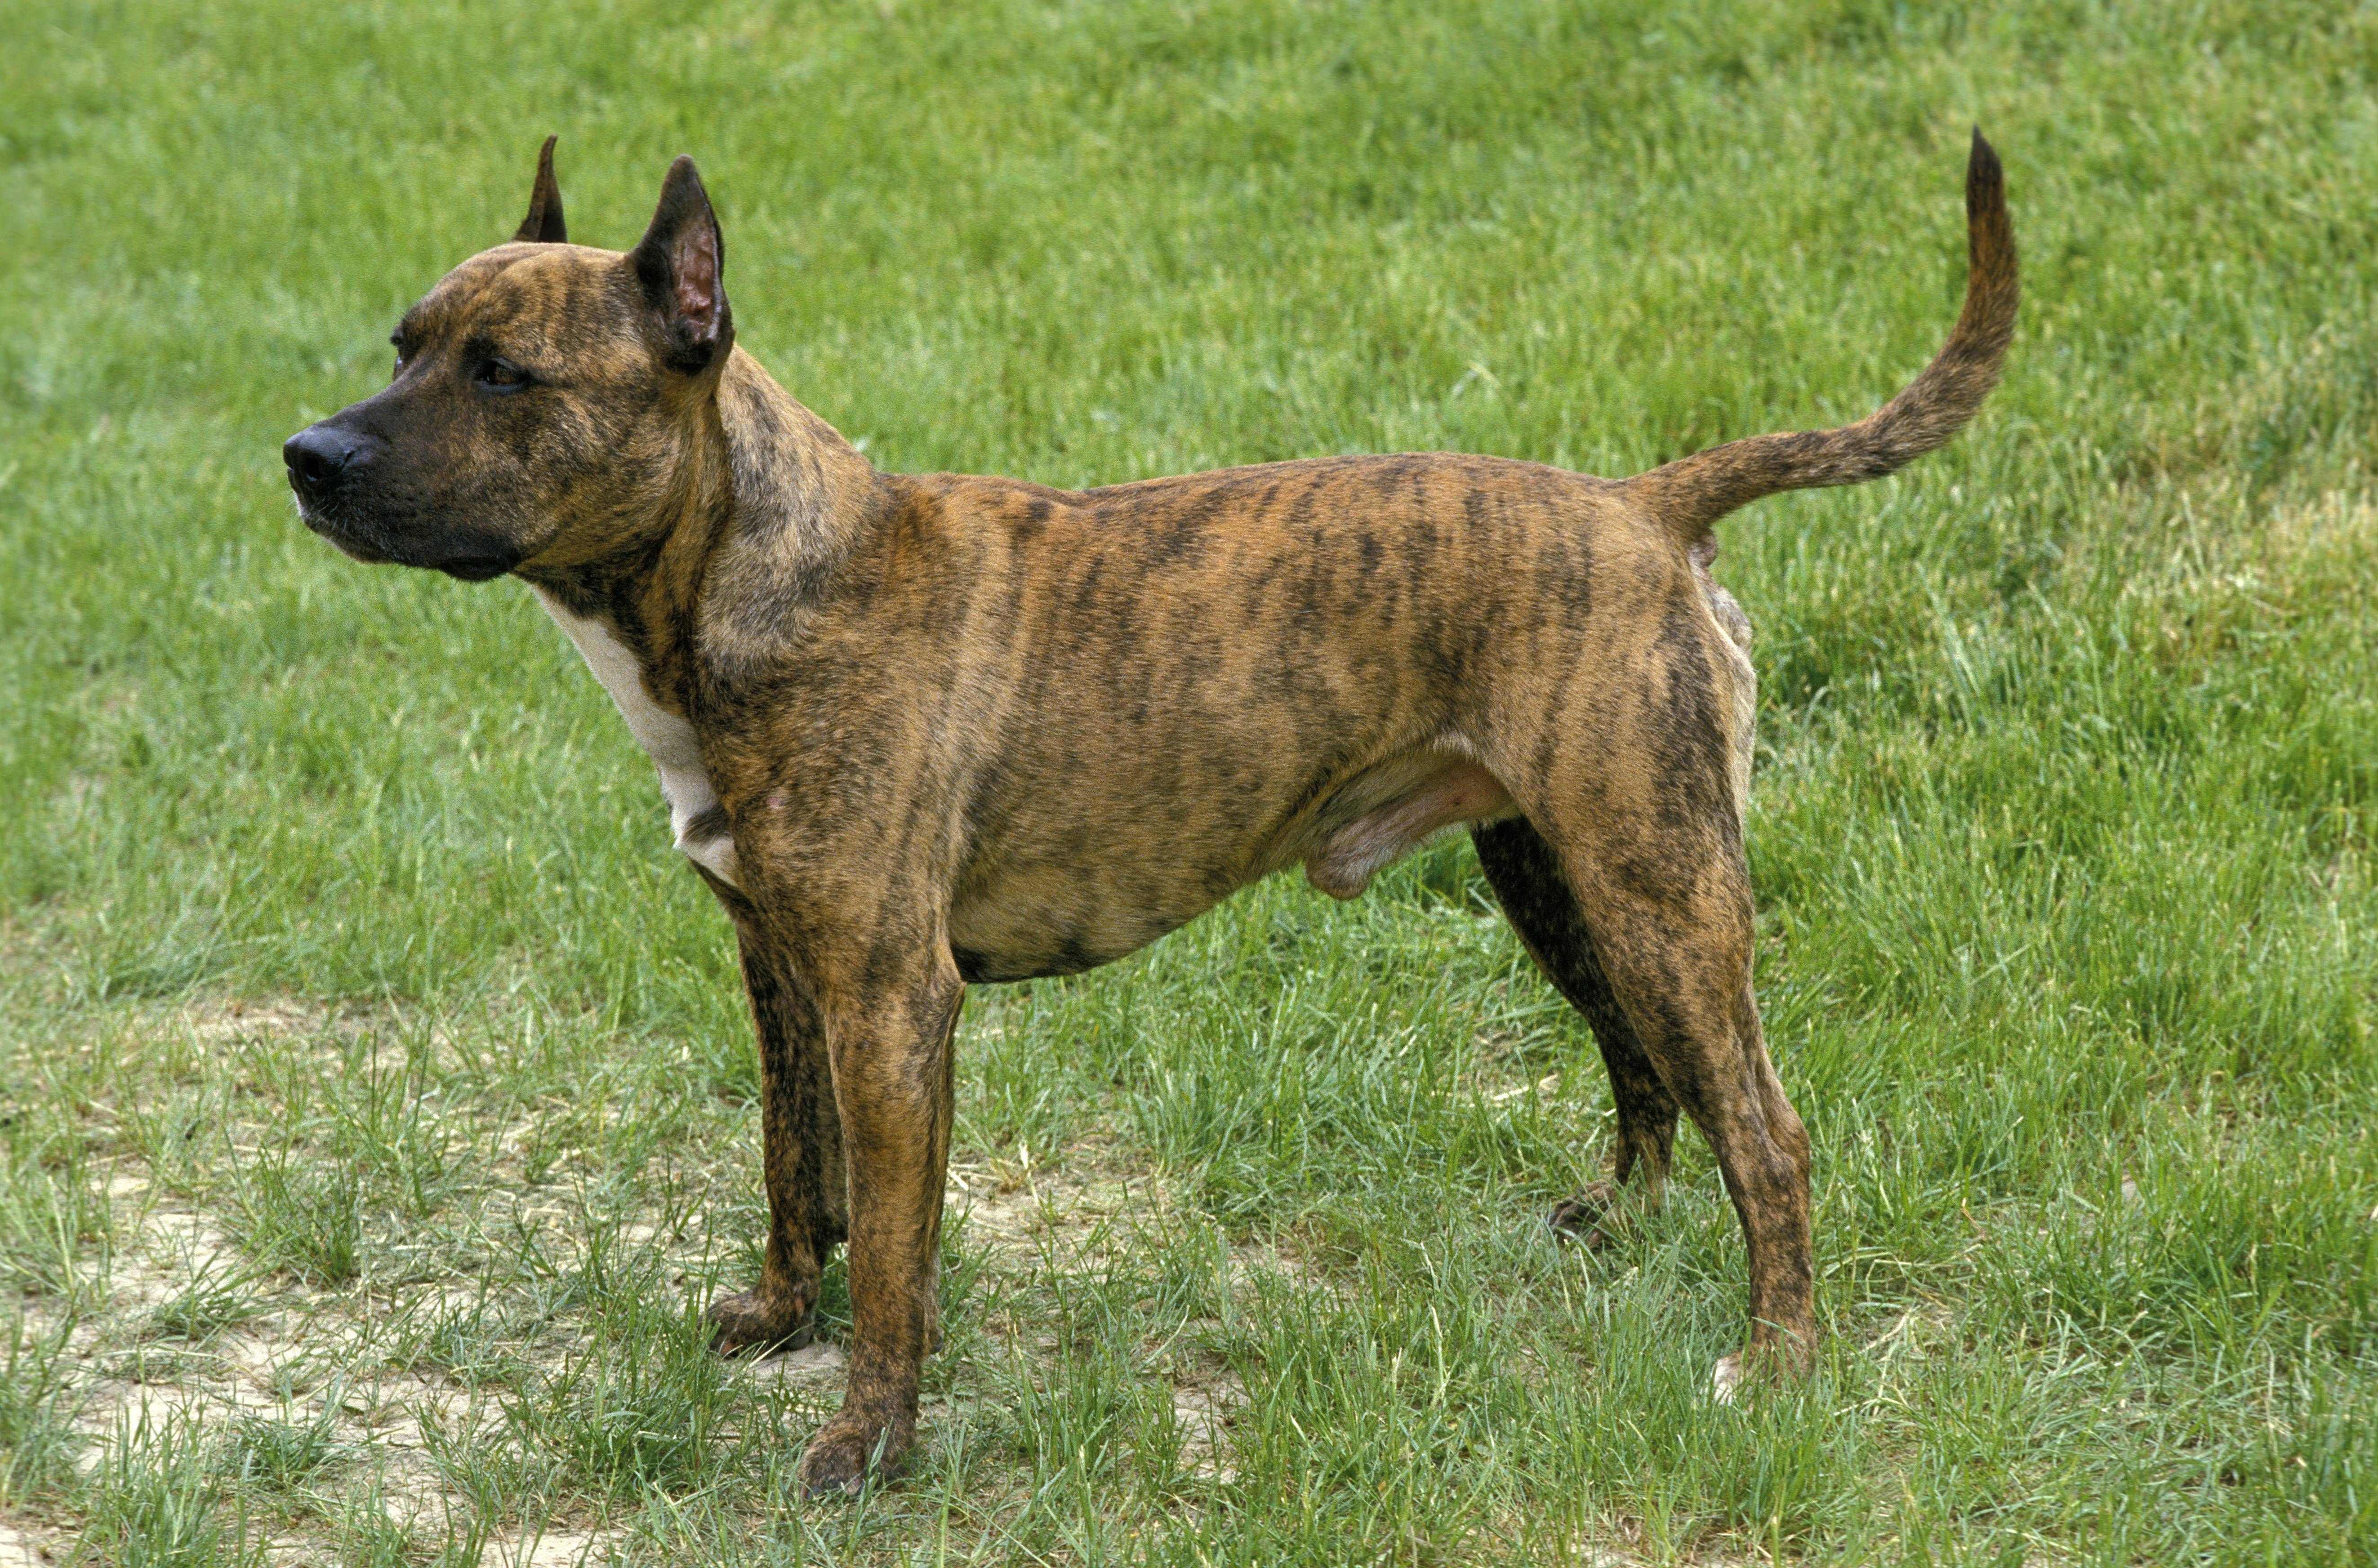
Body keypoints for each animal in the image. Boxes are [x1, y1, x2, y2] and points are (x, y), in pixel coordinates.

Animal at [288, 135, 2016, 1494]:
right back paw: (1627, 1221)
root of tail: (1644, 504)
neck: (763, 570)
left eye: (503, 373)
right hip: (1567, 884)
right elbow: (794, 1168)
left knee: (1766, 1130)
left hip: (1660, 894)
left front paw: (865, 1442)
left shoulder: (890, 1004)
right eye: (403, 343)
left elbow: (897, 1256)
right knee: (1653, 1076)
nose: (306, 454)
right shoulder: (783, 970)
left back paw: (1775, 1357)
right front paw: (780, 1316)